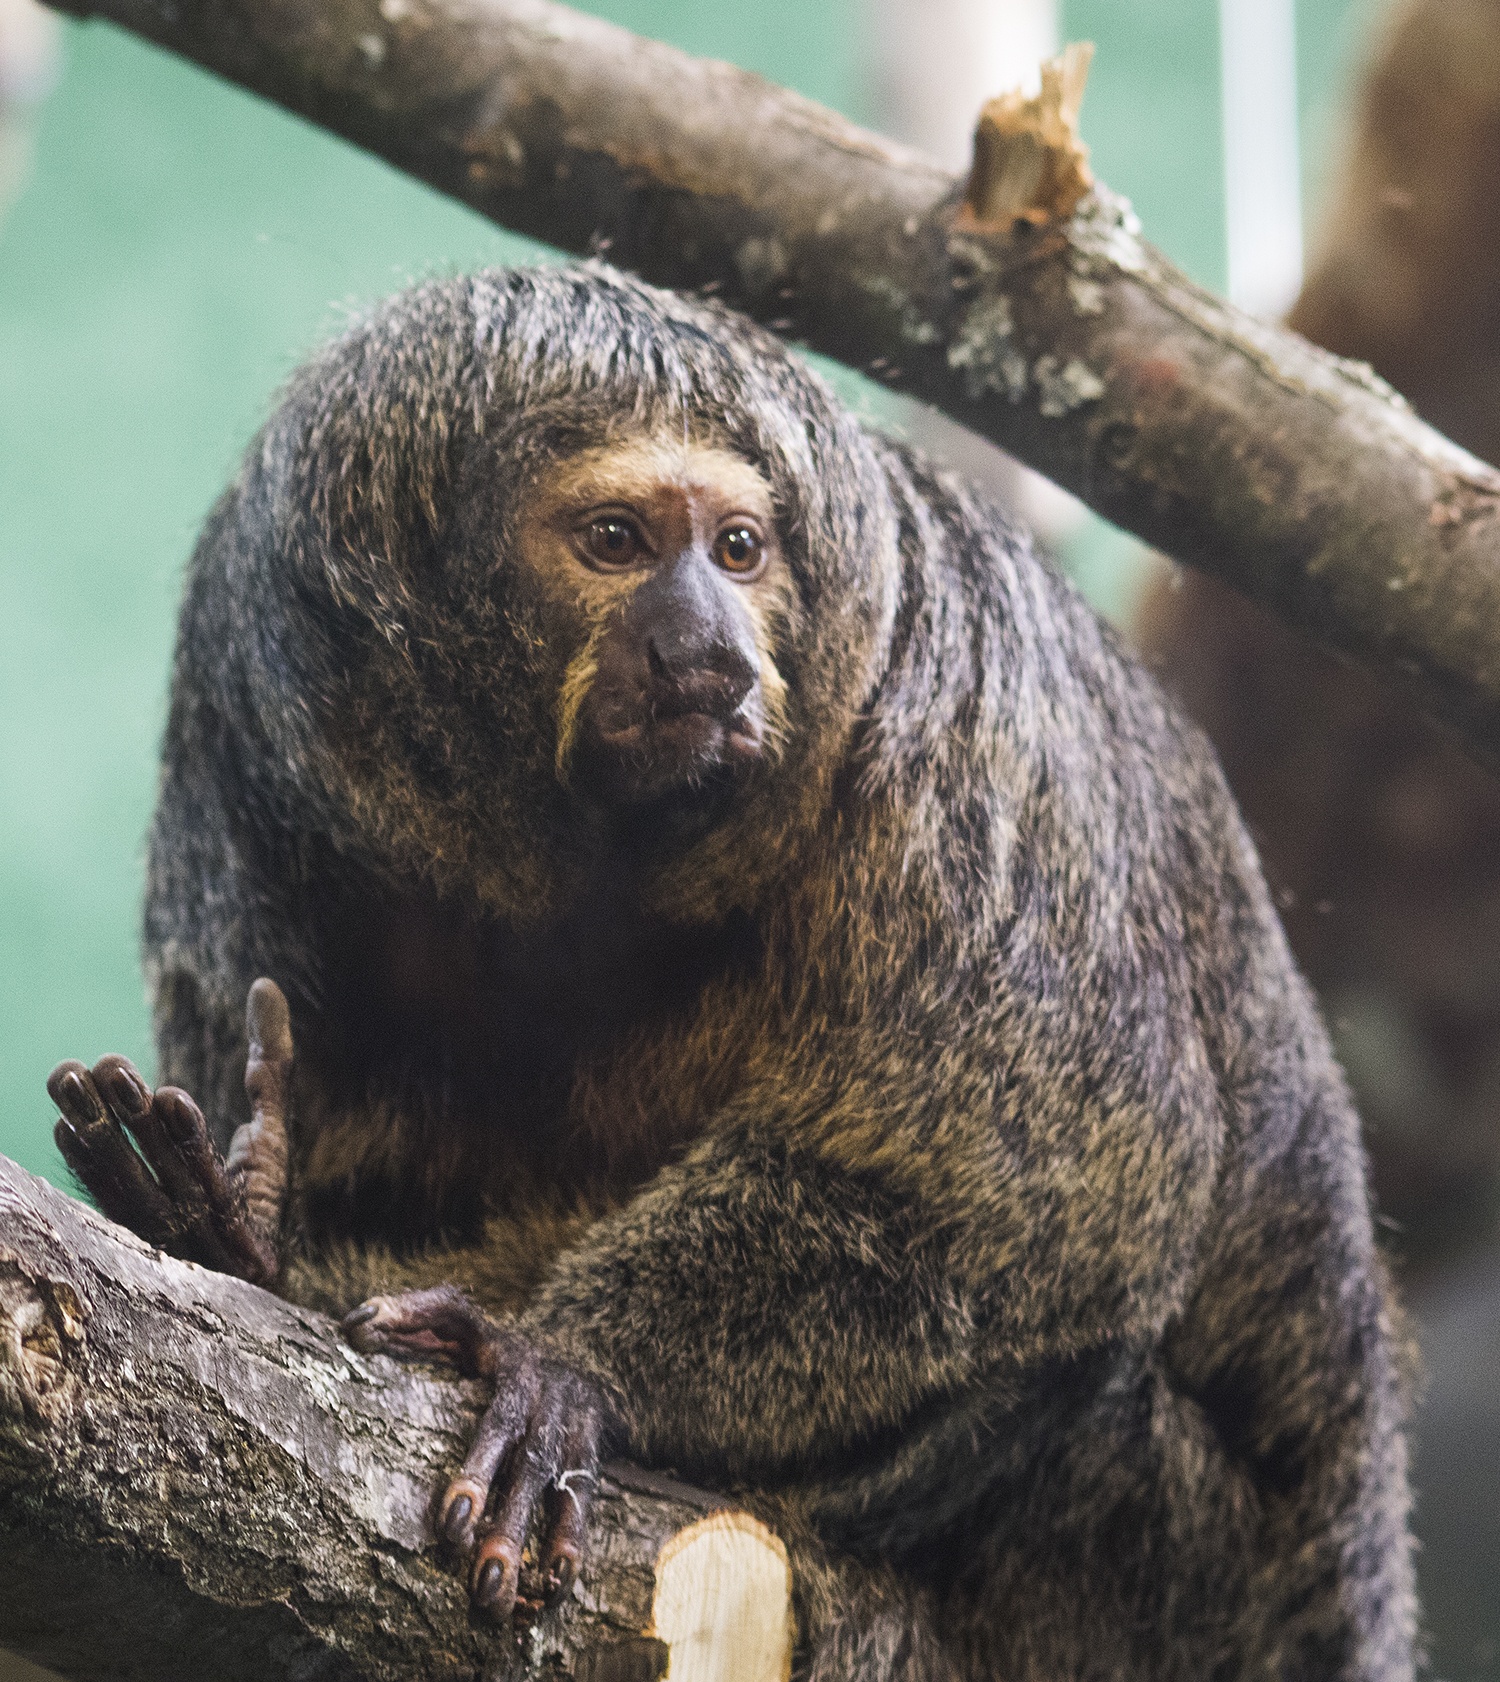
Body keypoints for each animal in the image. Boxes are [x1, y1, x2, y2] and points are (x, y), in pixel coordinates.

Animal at [46, 264, 1415, 1681]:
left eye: (740, 550)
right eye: (615, 539)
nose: (705, 647)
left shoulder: (970, 722)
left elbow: (1042, 1181)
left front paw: (563, 1358)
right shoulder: (254, 741)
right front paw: (238, 1237)